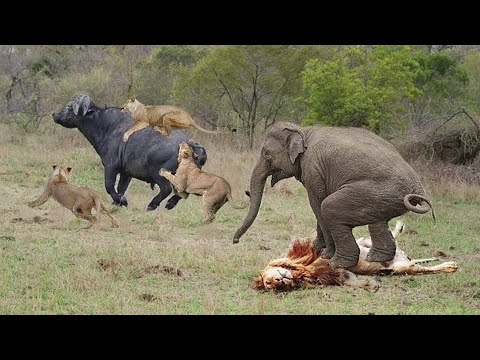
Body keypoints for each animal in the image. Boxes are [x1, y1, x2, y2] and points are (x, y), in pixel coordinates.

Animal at [52, 94, 206, 211]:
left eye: (69, 106)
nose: (54, 114)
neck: (107, 126)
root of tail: (190, 144)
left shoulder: (111, 166)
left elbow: (109, 186)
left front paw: (122, 201)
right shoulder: (126, 173)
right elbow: (121, 188)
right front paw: (118, 203)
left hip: (160, 174)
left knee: (166, 189)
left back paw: (153, 205)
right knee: (183, 191)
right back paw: (170, 204)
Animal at [232, 122, 436, 268]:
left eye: (267, 154)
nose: (235, 241)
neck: (303, 130)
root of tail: (417, 187)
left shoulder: (313, 169)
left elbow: (317, 203)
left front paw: (324, 254)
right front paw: (315, 248)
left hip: (377, 191)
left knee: (329, 207)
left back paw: (338, 263)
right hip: (383, 197)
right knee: (376, 221)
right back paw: (375, 259)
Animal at [255, 221, 458, 292]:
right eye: (269, 284)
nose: (280, 282)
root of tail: (403, 258)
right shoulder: (340, 275)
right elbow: (354, 281)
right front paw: (372, 285)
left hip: (367, 242)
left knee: (387, 239)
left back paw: (400, 227)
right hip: (402, 268)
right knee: (423, 269)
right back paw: (449, 265)